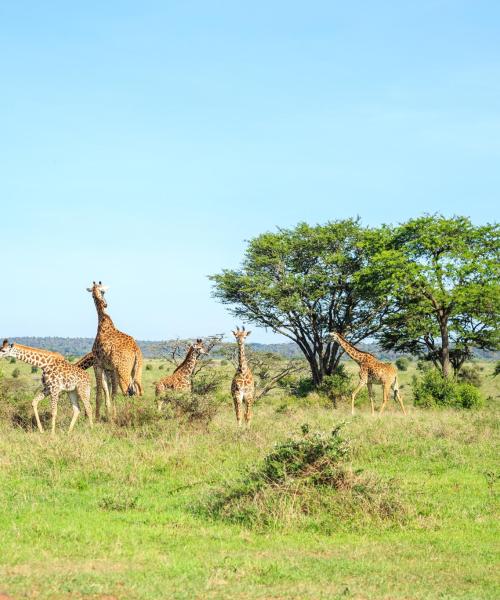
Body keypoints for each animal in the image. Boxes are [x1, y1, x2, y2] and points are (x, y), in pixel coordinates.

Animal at [87, 278, 143, 420]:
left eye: (103, 291)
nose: (105, 304)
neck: (103, 321)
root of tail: (135, 350)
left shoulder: (97, 365)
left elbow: (100, 394)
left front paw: (97, 418)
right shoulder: (110, 369)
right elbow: (111, 394)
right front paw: (111, 416)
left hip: (123, 371)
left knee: (129, 392)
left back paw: (129, 417)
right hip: (137, 369)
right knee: (138, 391)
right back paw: (136, 416)